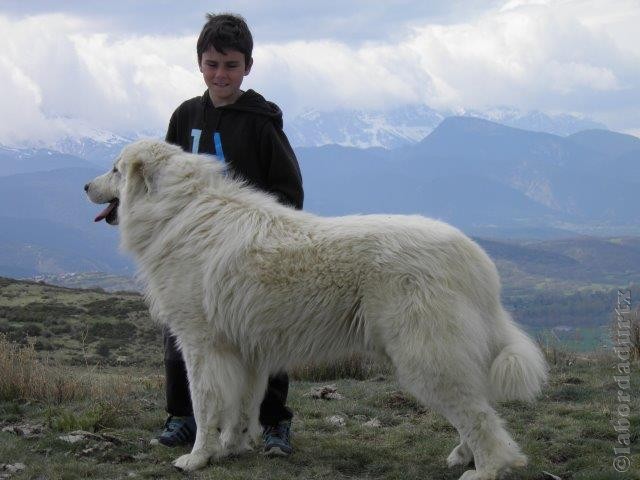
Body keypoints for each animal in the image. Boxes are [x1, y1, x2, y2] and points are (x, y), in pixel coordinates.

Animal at [84, 140, 544, 480]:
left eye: (114, 170)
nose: (85, 187)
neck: (177, 212)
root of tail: (476, 259)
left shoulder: (201, 347)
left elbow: (205, 406)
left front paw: (197, 458)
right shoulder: (245, 351)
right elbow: (241, 408)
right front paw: (233, 447)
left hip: (425, 354)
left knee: (479, 415)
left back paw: (486, 468)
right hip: (438, 354)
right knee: (475, 405)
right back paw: (462, 454)